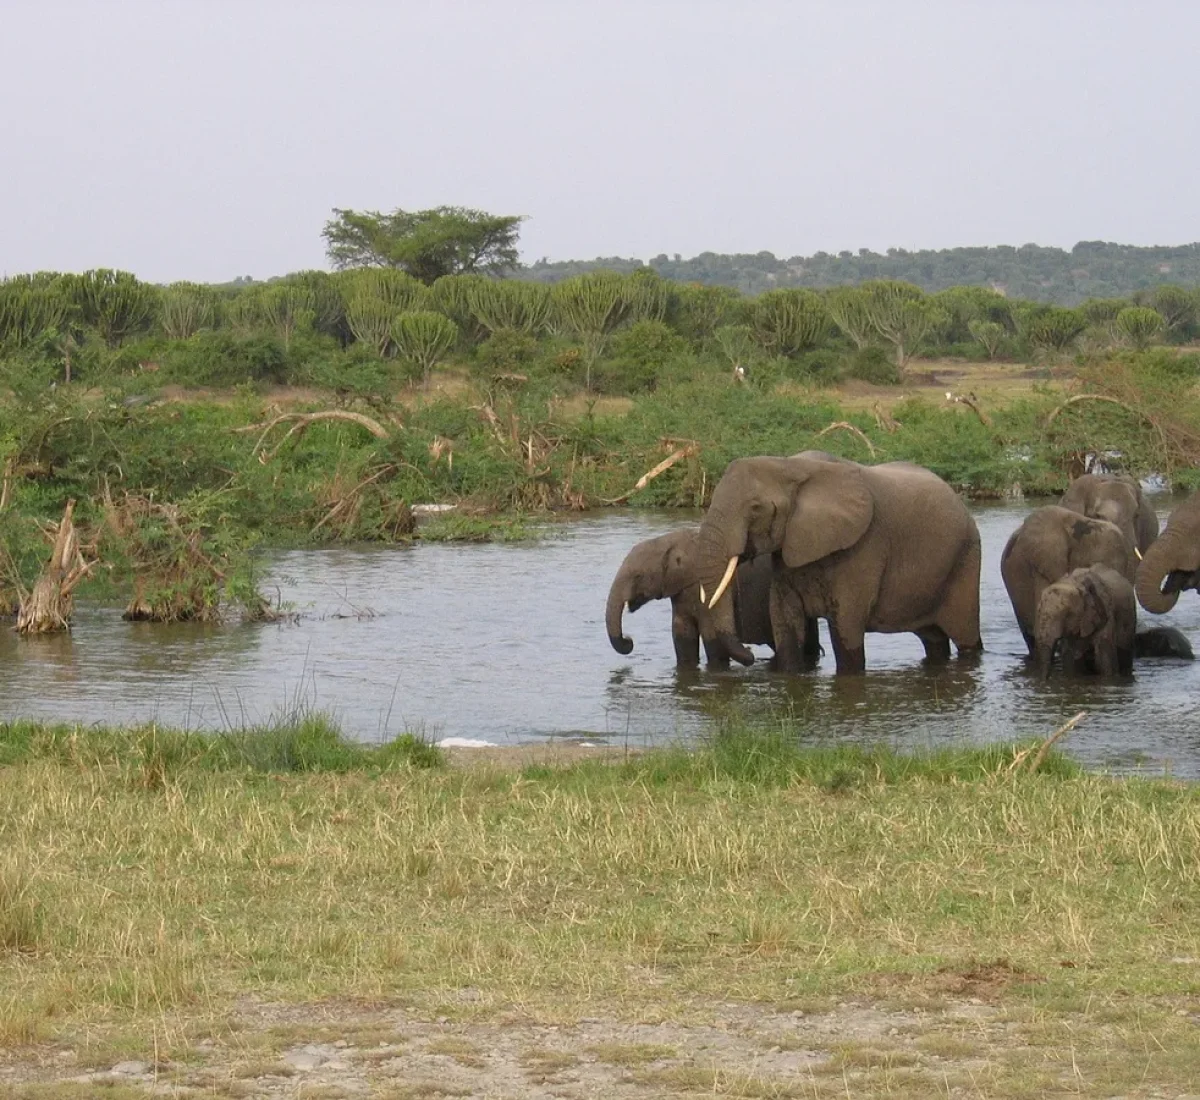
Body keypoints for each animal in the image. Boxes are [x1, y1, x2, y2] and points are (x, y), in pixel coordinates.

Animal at [694, 453, 982, 674]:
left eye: (755, 508)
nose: (750, 655)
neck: (789, 465)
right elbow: (784, 619)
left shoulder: (863, 547)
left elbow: (846, 626)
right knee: (934, 640)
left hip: (965, 561)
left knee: (966, 639)